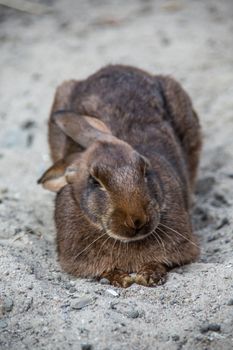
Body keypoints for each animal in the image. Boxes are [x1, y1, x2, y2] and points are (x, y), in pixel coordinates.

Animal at [37, 65, 201, 288]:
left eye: (144, 169)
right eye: (95, 181)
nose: (137, 220)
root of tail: (117, 67)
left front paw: (149, 275)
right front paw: (121, 278)